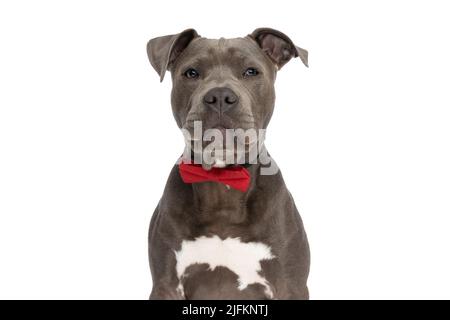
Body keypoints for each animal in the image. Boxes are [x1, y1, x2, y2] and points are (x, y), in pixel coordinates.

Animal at [147, 27, 310, 300]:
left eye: (251, 71)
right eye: (191, 73)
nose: (220, 96)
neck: (222, 181)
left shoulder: (291, 285)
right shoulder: (166, 285)